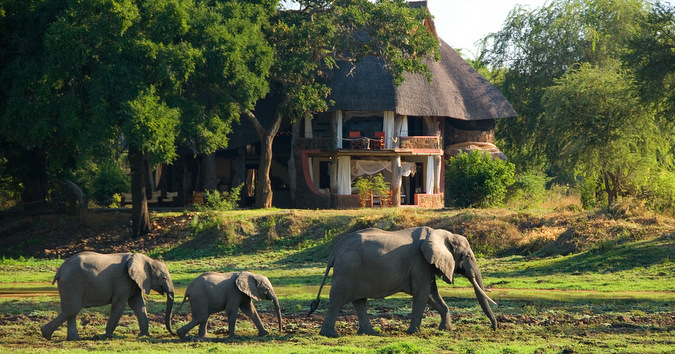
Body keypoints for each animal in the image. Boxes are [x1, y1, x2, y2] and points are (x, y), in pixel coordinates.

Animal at [308, 227, 500, 338]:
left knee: (359, 301)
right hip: (348, 270)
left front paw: (447, 330)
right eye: (467, 256)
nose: (495, 327)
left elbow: (431, 294)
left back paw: (369, 333)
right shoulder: (420, 261)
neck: (442, 234)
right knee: (337, 299)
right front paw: (414, 332)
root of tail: (334, 252)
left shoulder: (426, 264)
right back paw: (331, 335)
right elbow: (422, 293)